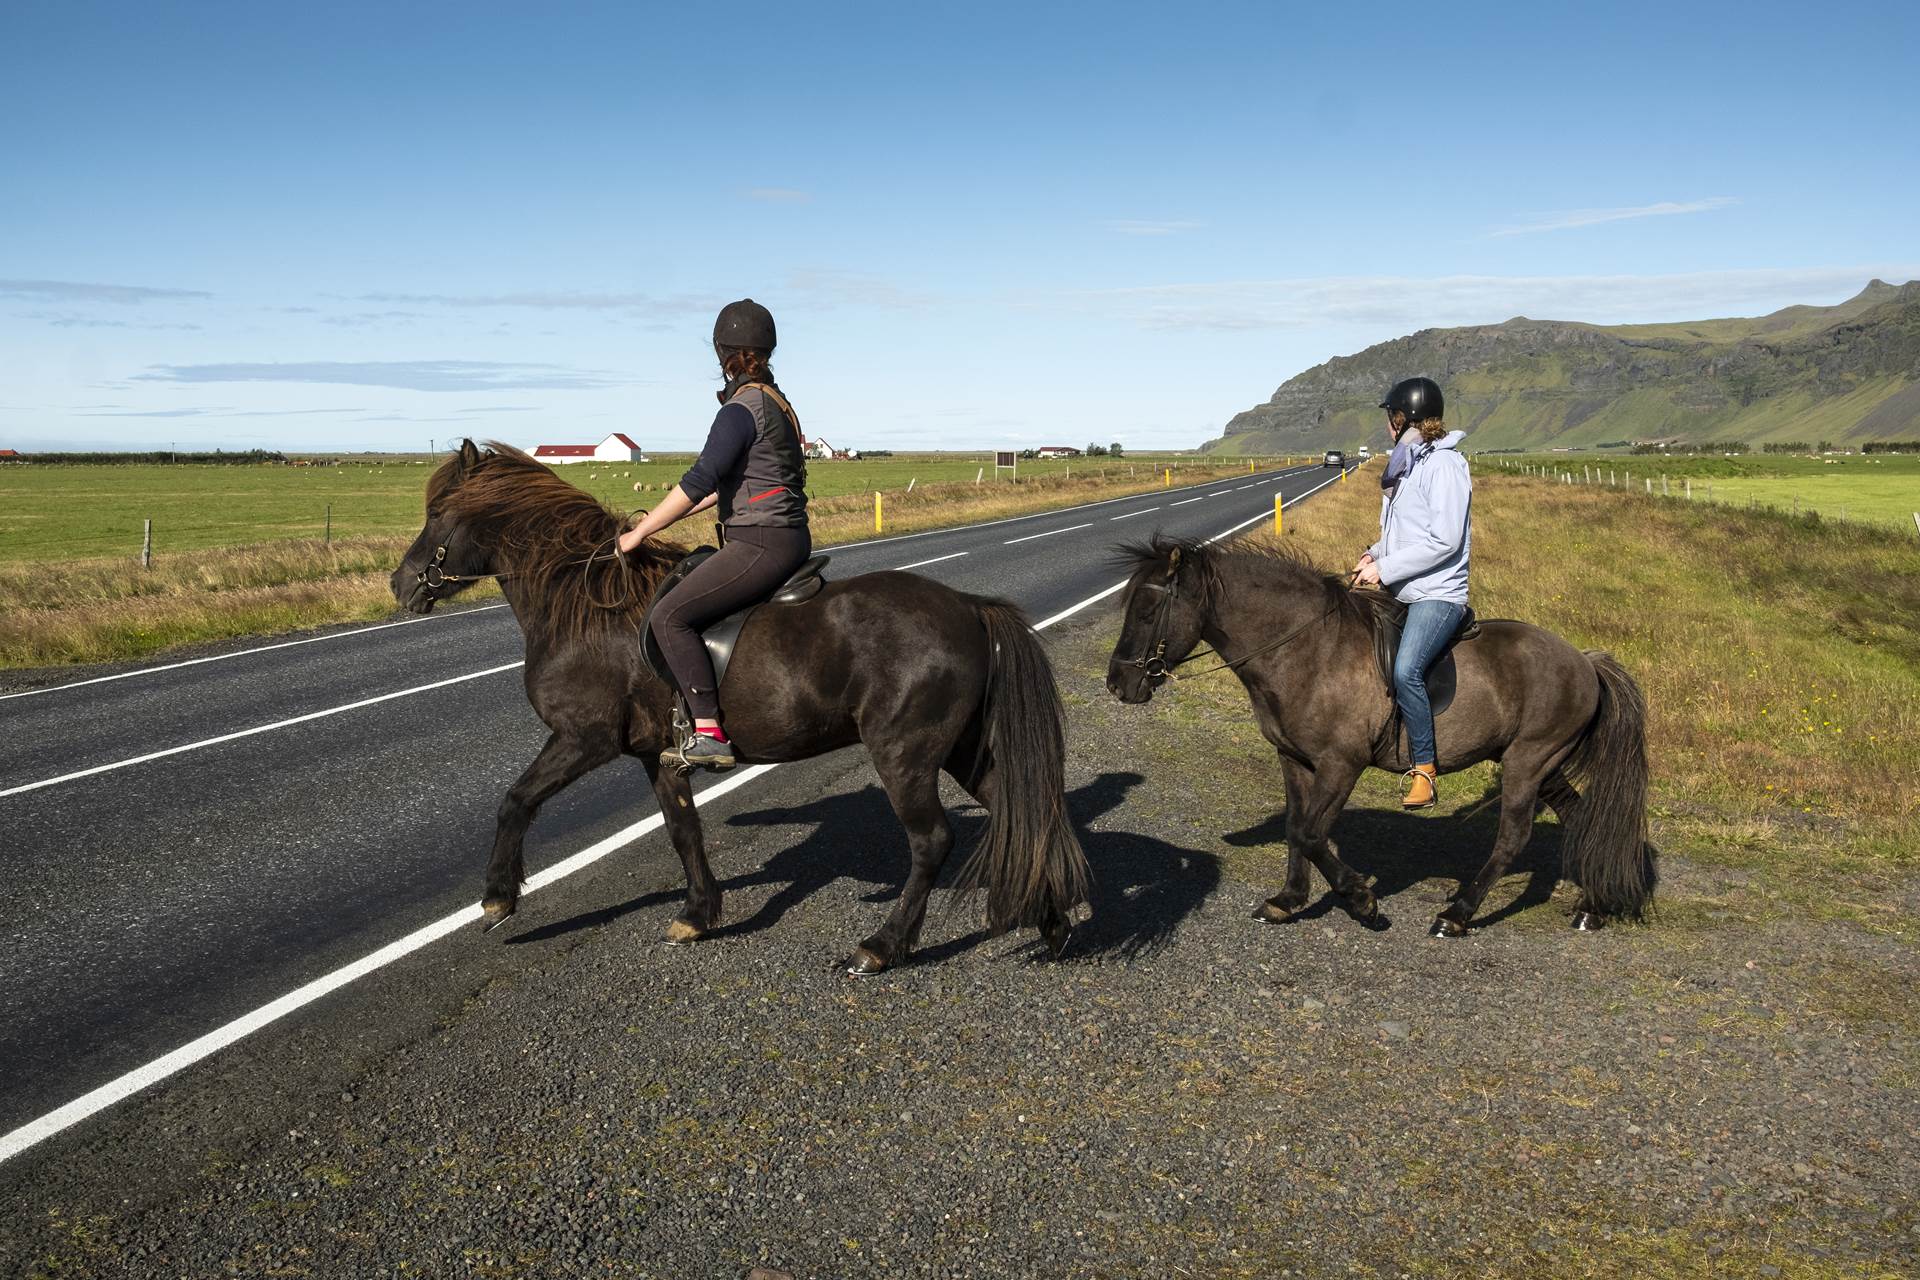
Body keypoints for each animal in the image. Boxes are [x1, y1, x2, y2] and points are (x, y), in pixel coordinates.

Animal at [391, 441, 1090, 971]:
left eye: (437, 511)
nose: (399, 585)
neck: (588, 607)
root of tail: (968, 605)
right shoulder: (656, 755)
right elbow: (683, 831)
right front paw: (699, 916)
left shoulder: (583, 739)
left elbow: (516, 800)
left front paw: (497, 899)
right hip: (962, 747)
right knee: (1021, 812)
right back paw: (1053, 923)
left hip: (905, 752)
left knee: (931, 840)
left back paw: (882, 947)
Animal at [1105, 537, 1658, 936]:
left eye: (1148, 611)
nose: (1118, 684)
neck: (1307, 650)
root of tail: (1584, 661)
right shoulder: (1294, 759)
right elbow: (1296, 828)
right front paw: (1287, 901)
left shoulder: (1341, 763)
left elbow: (1310, 834)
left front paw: (1362, 902)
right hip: (1544, 765)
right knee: (1581, 816)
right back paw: (1594, 904)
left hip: (1528, 762)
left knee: (1513, 836)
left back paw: (1457, 914)